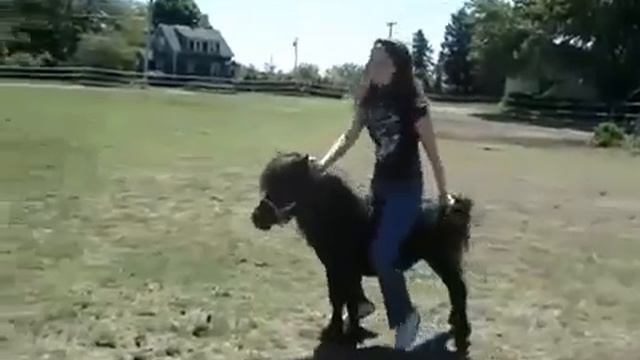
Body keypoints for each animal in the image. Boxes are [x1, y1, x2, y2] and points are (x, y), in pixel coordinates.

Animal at [252, 151, 472, 358]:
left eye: (286, 183)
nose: (257, 218)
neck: (341, 217)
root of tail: (451, 207)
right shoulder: (335, 269)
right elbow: (340, 299)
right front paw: (339, 331)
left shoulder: (344, 269)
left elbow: (346, 300)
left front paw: (348, 335)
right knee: (455, 291)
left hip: (442, 260)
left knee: (458, 289)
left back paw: (462, 333)